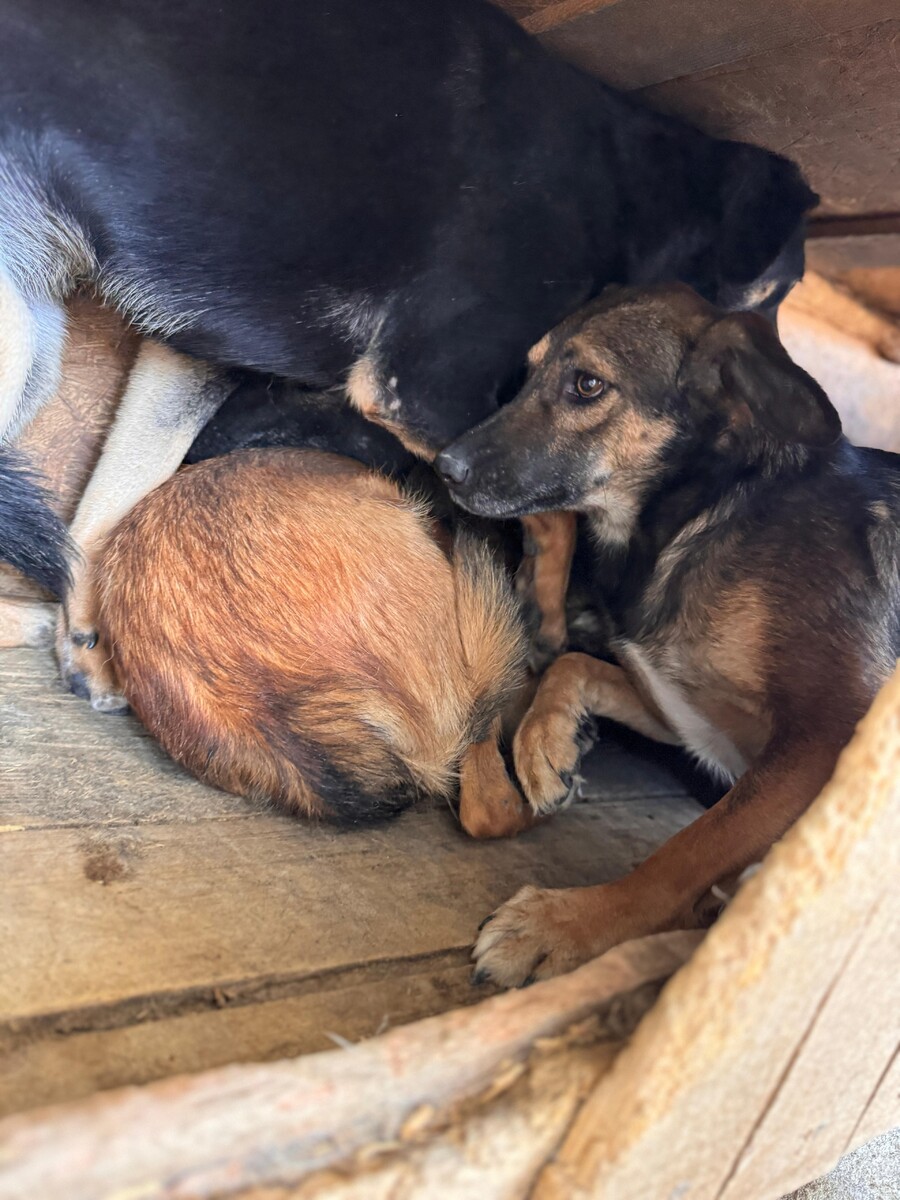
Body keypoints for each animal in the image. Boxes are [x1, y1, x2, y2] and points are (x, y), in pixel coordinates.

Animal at [0, 0, 816, 711]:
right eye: (778, 293)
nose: (806, 410)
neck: (632, 194)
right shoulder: (420, 387)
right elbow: (552, 509)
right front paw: (546, 613)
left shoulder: (189, 356)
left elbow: (112, 500)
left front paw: (88, 643)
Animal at [434, 283, 900, 986]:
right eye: (527, 372)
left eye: (587, 384)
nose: (444, 466)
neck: (698, 518)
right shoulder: (691, 712)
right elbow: (574, 664)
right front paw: (548, 747)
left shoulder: (828, 737)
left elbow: (686, 852)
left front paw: (563, 925)